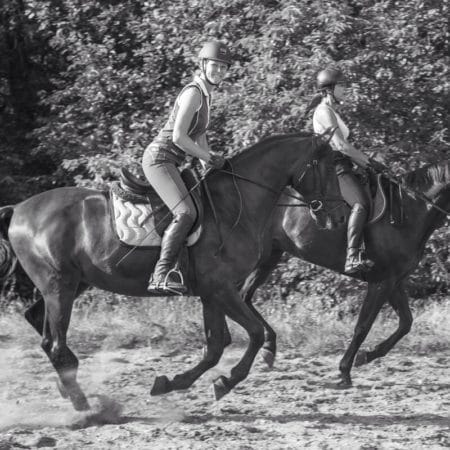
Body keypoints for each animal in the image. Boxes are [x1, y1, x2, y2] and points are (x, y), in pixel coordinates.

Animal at [0, 132, 346, 410]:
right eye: (328, 167)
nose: (339, 217)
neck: (235, 204)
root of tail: (17, 209)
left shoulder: (212, 293)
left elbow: (216, 346)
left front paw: (173, 383)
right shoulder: (221, 288)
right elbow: (254, 334)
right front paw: (225, 381)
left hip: (72, 284)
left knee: (41, 327)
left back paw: (67, 386)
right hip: (59, 286)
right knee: (54, 343)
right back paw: (83, 404)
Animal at [234, 160, 448, 384]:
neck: (410, 212)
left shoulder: (394, 281)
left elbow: (406, 322)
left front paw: (367, 356)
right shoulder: (381, 281)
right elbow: (363, 326)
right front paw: (345, 370)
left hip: (270, 256)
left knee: (244, 295)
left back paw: (269, 348)